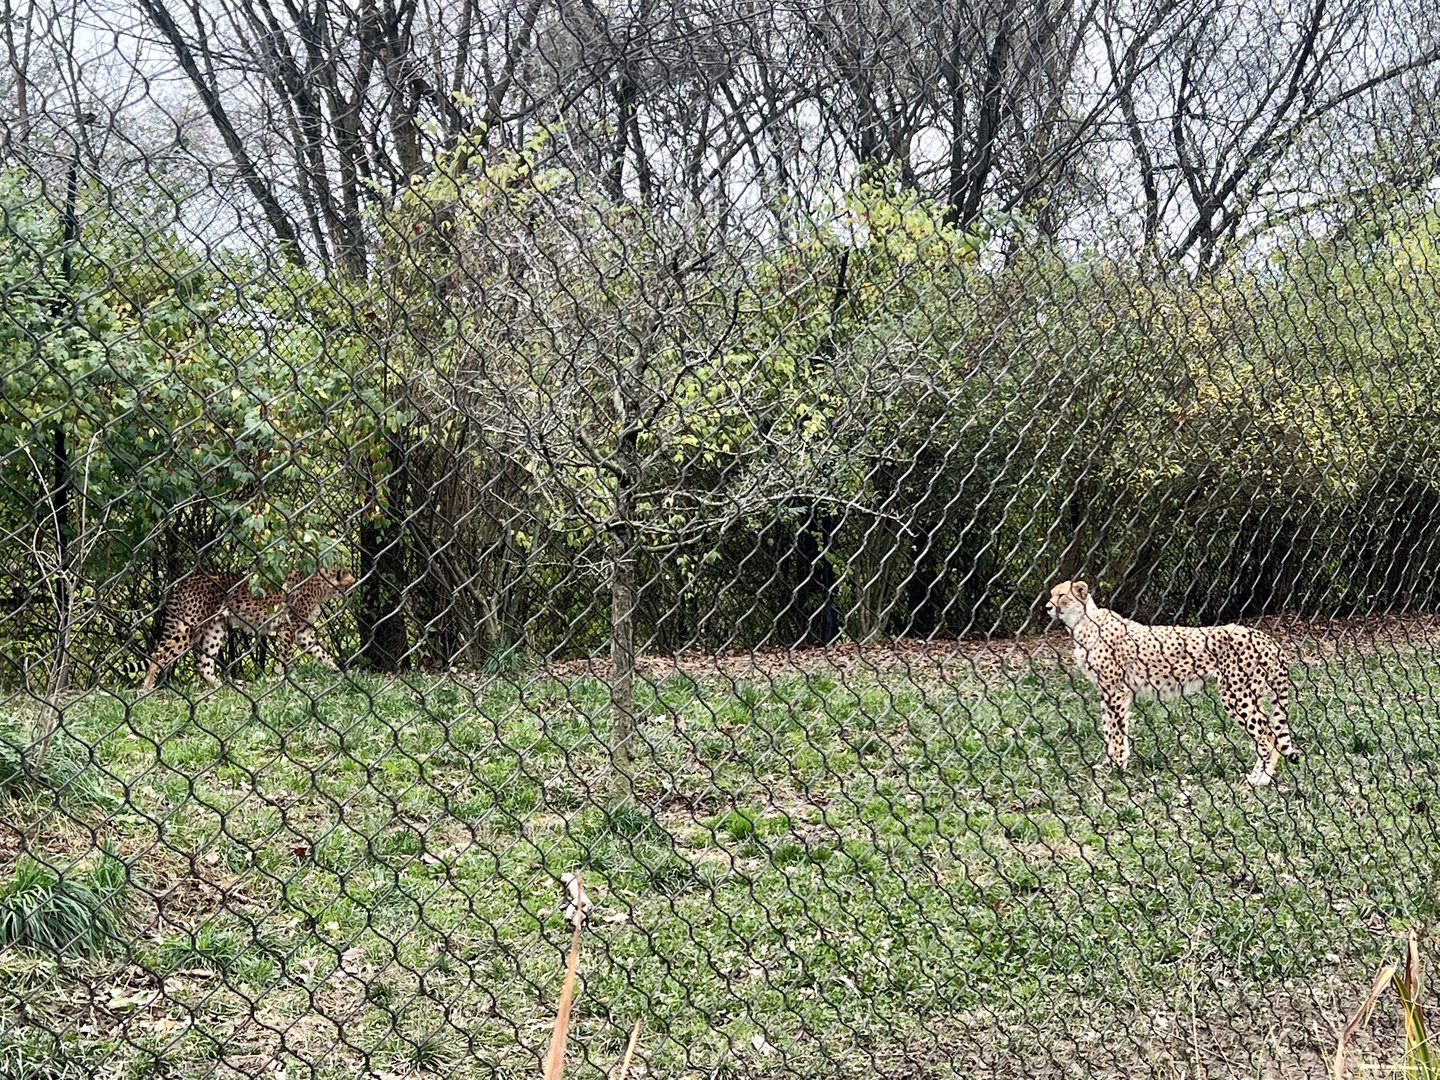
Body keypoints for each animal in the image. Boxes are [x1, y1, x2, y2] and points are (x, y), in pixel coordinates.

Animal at [141, 567, 357, 690]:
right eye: (352, 583)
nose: (354, 593)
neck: (324, 585)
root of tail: (186, 581)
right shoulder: (289, 628)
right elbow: (285, 657)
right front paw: (282, 678)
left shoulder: (302, 634)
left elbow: (322, 653)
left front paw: (338, 670)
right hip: (191, 627)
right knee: (158, 654)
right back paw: (147, 687)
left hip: (215, 629)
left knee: (204, 665)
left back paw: (225, 686)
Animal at [1047, 580, 1299, 786]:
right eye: (1051, 594)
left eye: (1062, 595)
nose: (1048, 607)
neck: (1082, 623)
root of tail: (1268, 639)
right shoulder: (1106, 691)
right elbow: (1109, 728)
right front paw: (1109, 763)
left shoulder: (1116, 691)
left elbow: (1117, 731)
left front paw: (1117, 766)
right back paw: (1258, 776)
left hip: (1236, 695)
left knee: (1269, 737)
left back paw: (1262, 780)